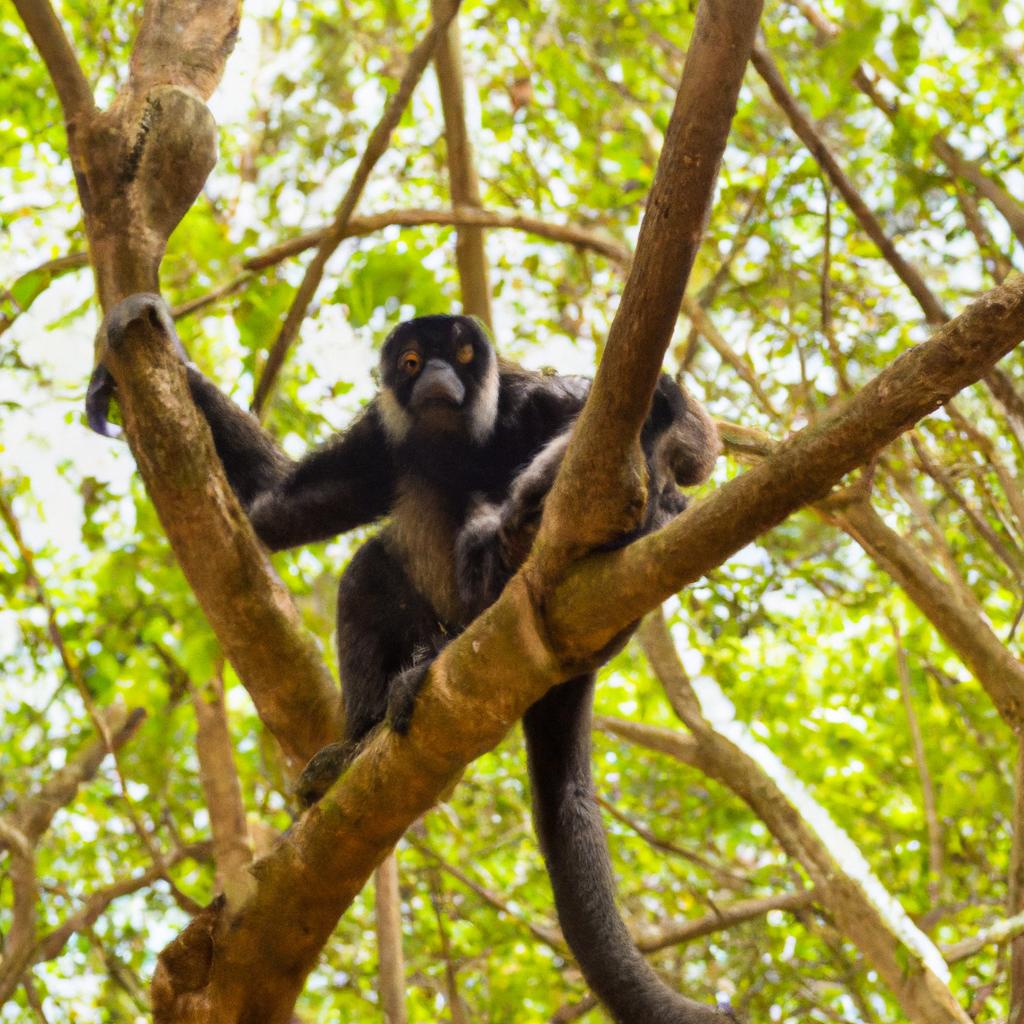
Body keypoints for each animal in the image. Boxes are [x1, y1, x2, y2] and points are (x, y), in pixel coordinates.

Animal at [90, 292, 729, 1019]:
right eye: (415, 362)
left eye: (464, 354)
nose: (439, 380)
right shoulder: (380, 438)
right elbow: (269, 513)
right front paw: (155, 345)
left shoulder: (530, 398)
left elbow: (683, 428)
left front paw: (544, 499)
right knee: (368, 568)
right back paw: (360, 739)